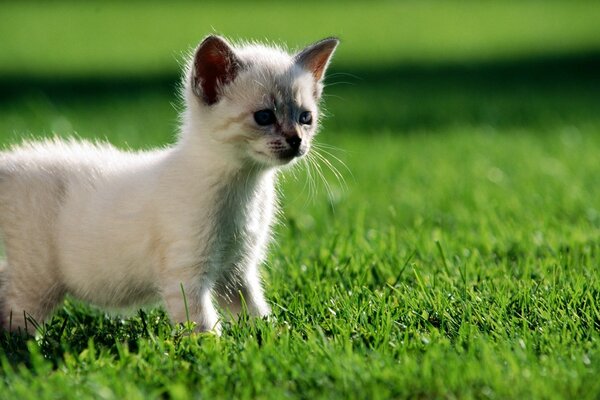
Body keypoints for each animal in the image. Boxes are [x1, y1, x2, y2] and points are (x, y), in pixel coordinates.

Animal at [0, 35, 338, 334]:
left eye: (305, 118)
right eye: (264, 117)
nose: (297, 141)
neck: (245, 187)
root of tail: (12, 160)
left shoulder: (237, 270)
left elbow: (254, 311)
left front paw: (274, 337)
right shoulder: (187, 271)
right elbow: (201, 325)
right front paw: (212, 351)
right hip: (37, 279)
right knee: (16, 319)